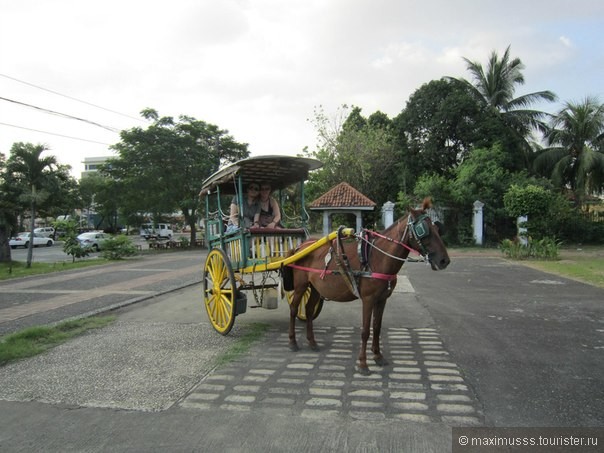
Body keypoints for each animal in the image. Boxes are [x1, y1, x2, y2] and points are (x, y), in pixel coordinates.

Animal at [284, 199, 448, 374]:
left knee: (308, 310)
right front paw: (363, 363)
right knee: (294, 309)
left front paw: (377, 356)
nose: (444, 260)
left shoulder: (382, 299)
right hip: (301, 285)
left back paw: (312, 342)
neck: (378, 257)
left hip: (314, 287)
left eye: (437, 228)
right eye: (422, 230)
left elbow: (377, 327)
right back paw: (292, 341)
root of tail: (301, 247)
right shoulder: (368, 300)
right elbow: (365, 331)